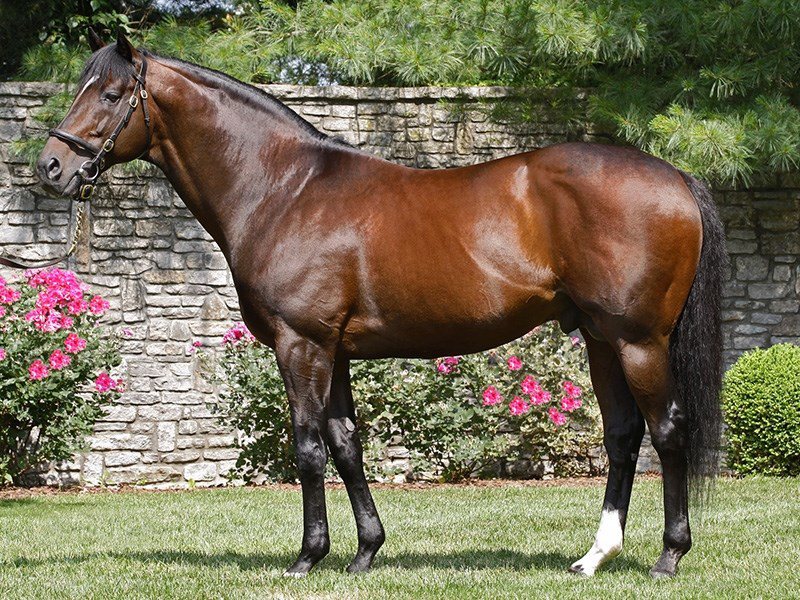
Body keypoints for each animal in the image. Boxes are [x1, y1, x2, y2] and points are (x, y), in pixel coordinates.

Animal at [36, 30, 726, 579]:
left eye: (109, 95)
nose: (51, 167)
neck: (284, 189)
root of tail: (674, 176)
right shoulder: (333, 350)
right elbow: (346, 445)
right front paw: (366, 551)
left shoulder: (301, 345)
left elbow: (308, 446)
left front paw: (308, 557)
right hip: (602, 338)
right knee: (623, 434)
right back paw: (593, 557)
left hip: (638, 340)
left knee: (668, 429)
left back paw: (669, 556)